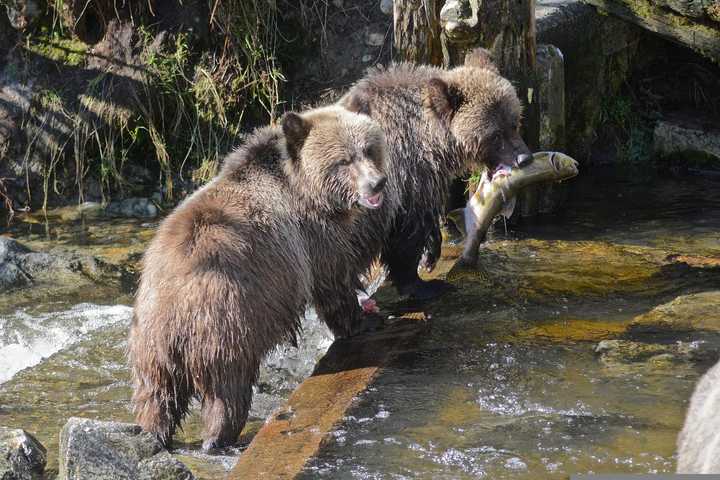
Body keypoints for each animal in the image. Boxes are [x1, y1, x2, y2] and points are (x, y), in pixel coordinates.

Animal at [128, 105, 391, 450]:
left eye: (369, 149)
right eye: (343, 160)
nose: (377, 183)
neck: (303, 187)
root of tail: (172, 311)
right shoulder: (312, 237)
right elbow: (333, 282)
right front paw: (365, 319)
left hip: (150, 344)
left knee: (156, 395)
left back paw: (152, 434)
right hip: (226, 322)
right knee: (228, 388)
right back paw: (219, 437)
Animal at [340, 48, 531, 299]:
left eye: (514, 122)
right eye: (495, 134)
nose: (524, 158)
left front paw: (430, 254)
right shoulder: (408, 176)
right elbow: (407, 232)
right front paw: (422, 283)